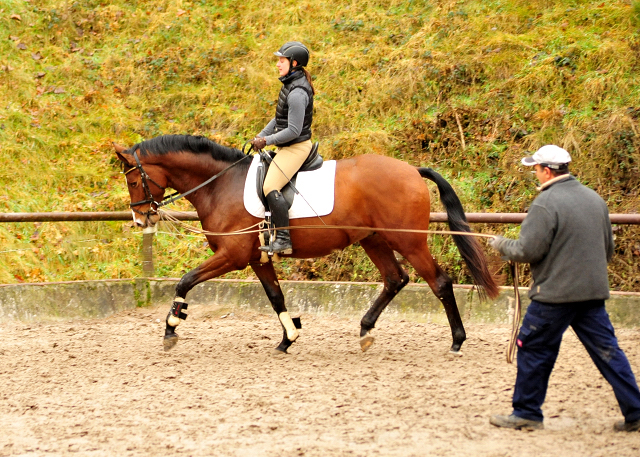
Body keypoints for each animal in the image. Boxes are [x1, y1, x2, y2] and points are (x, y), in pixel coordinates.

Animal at [112, 134, 498, 354]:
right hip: (373, 240)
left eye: (132, 181)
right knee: (395, 279)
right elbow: (276, 297)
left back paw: (457, 340)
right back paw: (365, 331)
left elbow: (185, 281)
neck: (220, 184)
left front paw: (171, 327)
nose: (140, 220)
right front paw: (288, 339)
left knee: (440, 282)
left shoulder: (232, 255)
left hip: (409, 241)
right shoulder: (257, 258)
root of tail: (412, 170)